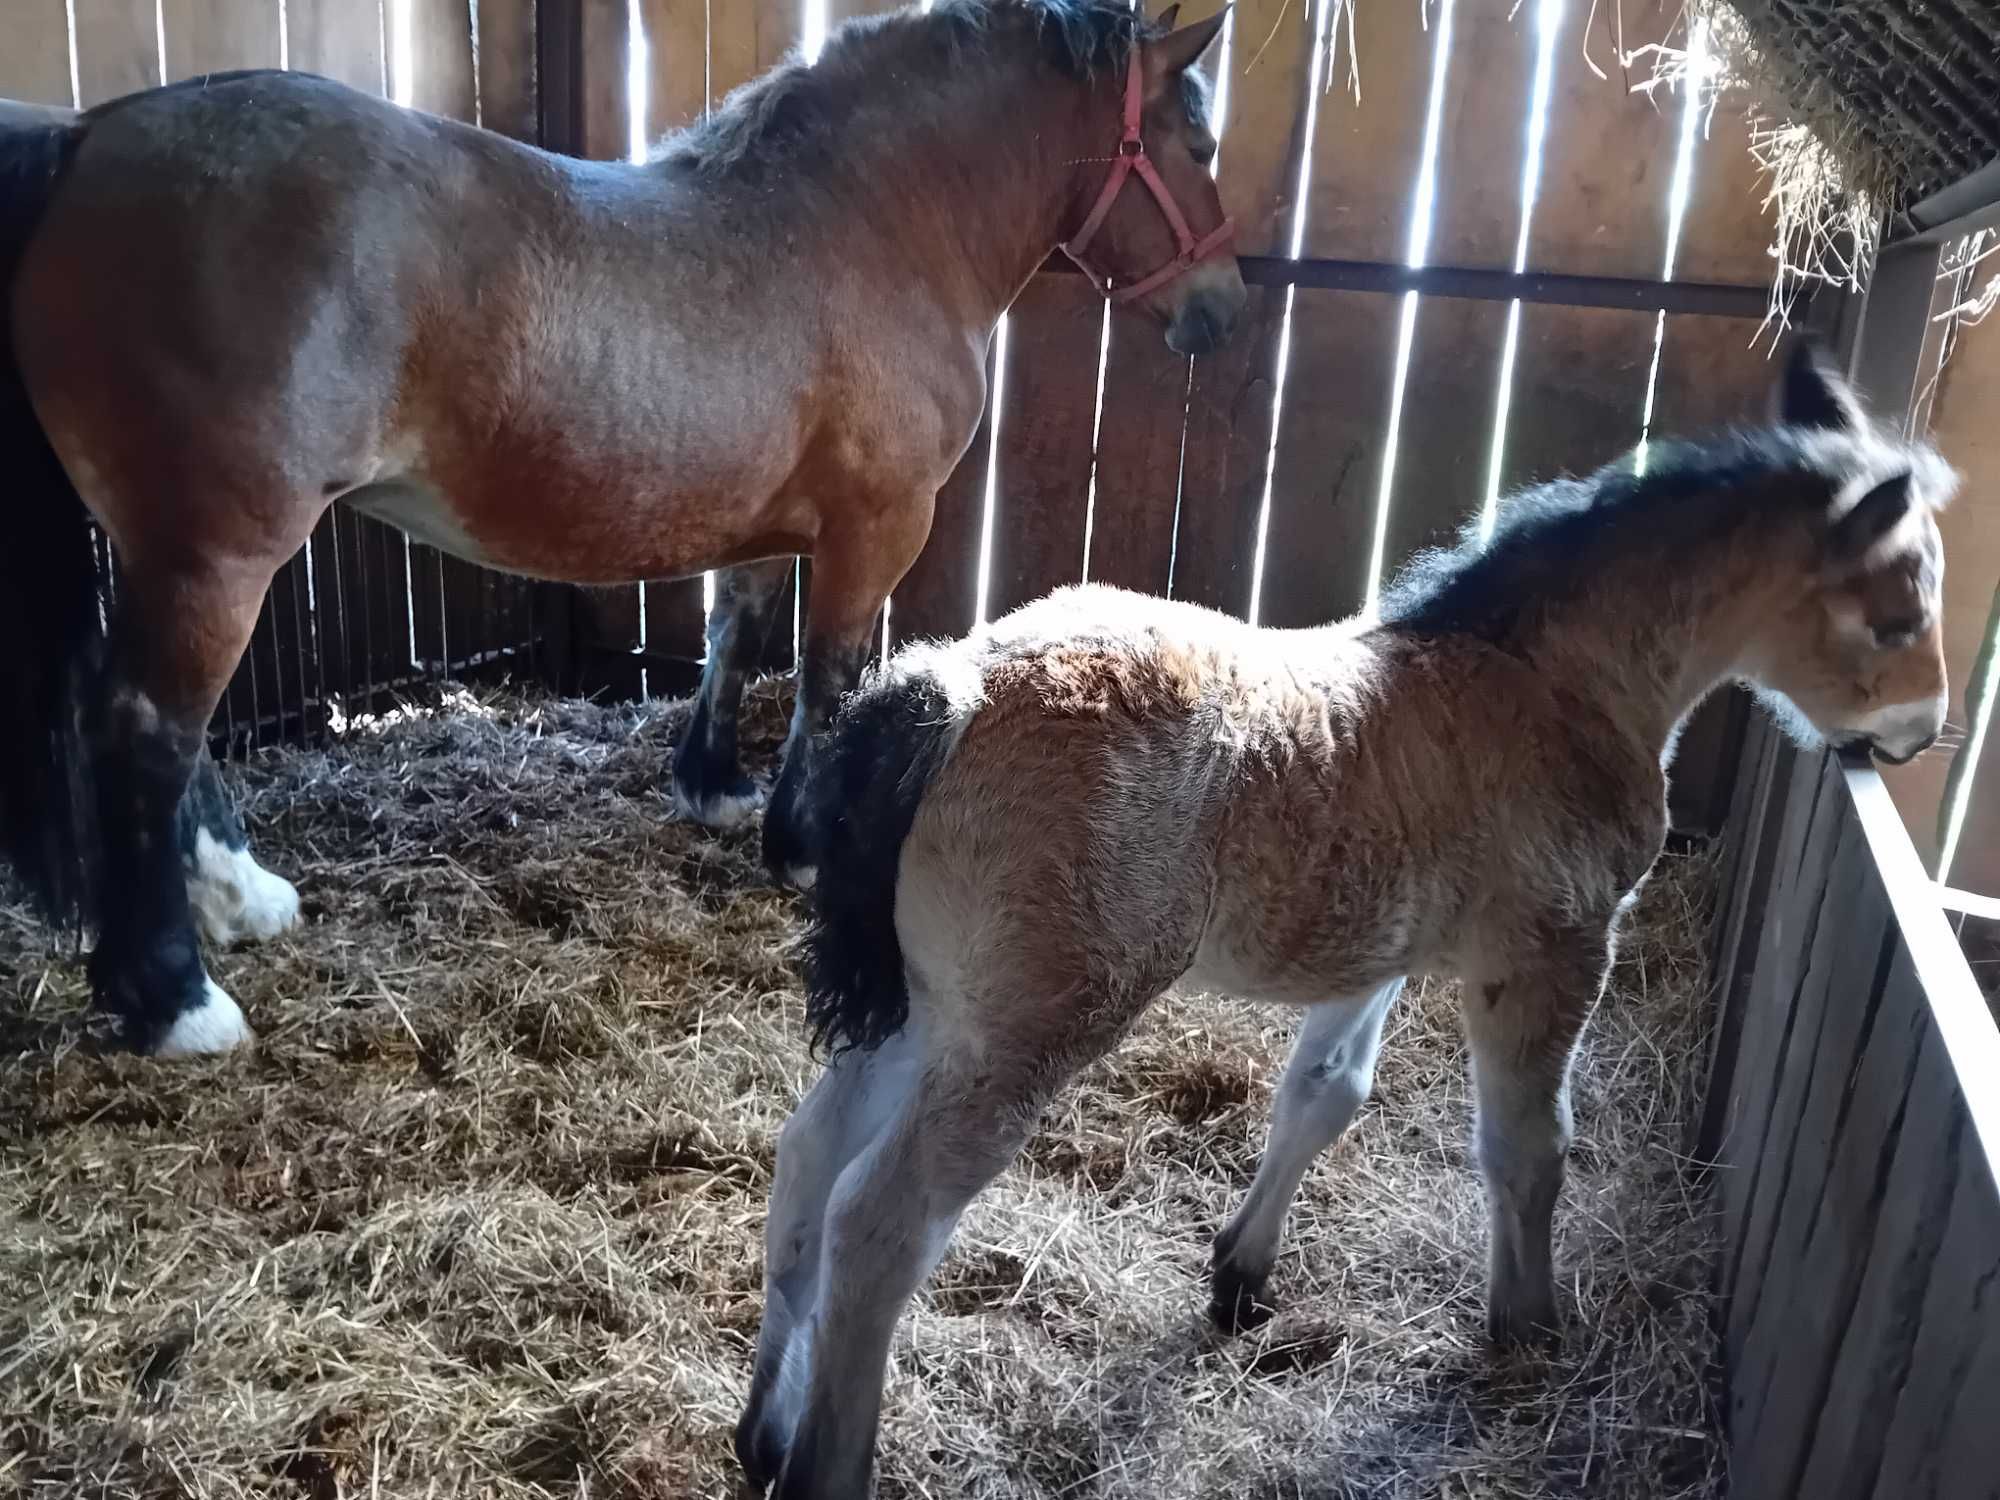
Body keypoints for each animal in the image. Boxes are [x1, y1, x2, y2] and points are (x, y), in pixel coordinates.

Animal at [0, 0, 1240, 1056]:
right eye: (1196, 140)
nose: (1220, 311)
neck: (872, 225)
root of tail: (89, 136)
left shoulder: (772, 526)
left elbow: (735, 639)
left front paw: (715, 787)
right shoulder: (877, 524)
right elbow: (827, 674)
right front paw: (803, 843)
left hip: (178, 552)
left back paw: (240, 902)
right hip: (219, 556)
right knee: (147, 727)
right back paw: (174, 997)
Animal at [740, 344, 1952, 1500]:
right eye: (1898, 610)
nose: (1923, 733)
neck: (1556, 686)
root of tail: (951, 687)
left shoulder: (1380, 952)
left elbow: (1324, 1095)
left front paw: (1240, 1277)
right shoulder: (1549, 950)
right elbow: (1529, 1147)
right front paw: (1526, 1327)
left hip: (930, 1006)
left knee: (810, 1160)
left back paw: (765, 1432)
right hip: (1023, 1029)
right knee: (882, 1222)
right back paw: (827, 1465)